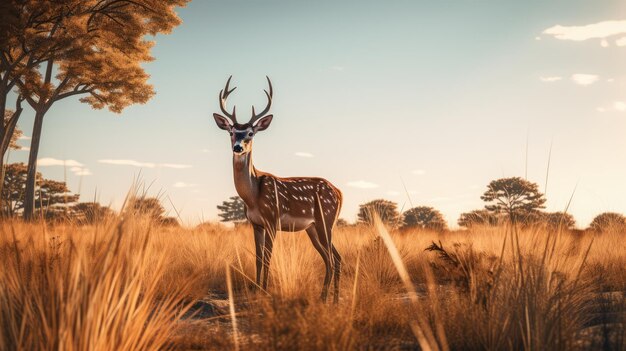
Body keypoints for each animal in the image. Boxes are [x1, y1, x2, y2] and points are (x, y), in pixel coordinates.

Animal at [213, 76, 342, 302]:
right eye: (231, 132)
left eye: (250, 133)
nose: (238, 147)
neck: (252, 197)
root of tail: (339, 193)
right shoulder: (256, 224)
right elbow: (258, 258)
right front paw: (256, 289)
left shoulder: (272, 219)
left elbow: (267, 257)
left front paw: (264, 290)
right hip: (313, 227)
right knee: (333, 257)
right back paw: (331, 299)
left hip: (326, 220)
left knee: (332, 258)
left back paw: (325, 298)